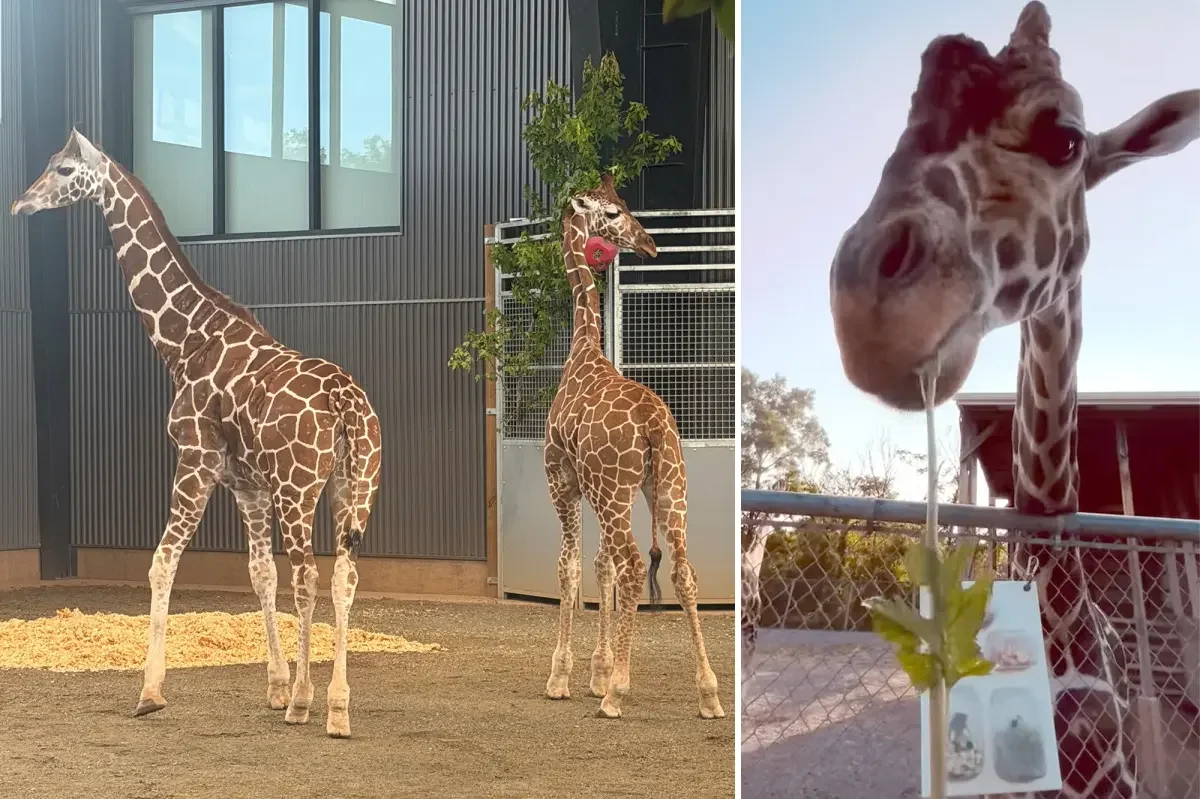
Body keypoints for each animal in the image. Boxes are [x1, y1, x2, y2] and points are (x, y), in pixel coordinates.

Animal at [11, 129, 383, 738]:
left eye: (64, 169)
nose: (21, 203)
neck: (185, 342)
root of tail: (345, 401)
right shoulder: (246, 485)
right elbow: (260, 574)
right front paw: (274, 686)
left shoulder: (196, 459)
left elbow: (163, 562)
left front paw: (150, 692)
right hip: (353, 486)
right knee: (343, 576)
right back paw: (336, 706)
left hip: (299, 489)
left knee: (310, 575)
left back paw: (307, 702)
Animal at [541, 174, 724, 720]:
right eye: (613, 212)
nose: (649, 243)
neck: (583, 350)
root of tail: (653, 426)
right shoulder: (591, 489)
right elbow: (599, 566)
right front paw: (598, 671)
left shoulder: (563, 481)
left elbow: (571, 567)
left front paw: (565, 677)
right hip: (667, 487)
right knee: (681, 568)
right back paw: (709, 694)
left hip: (616, 490)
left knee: (635, 564)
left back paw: (617, 695)